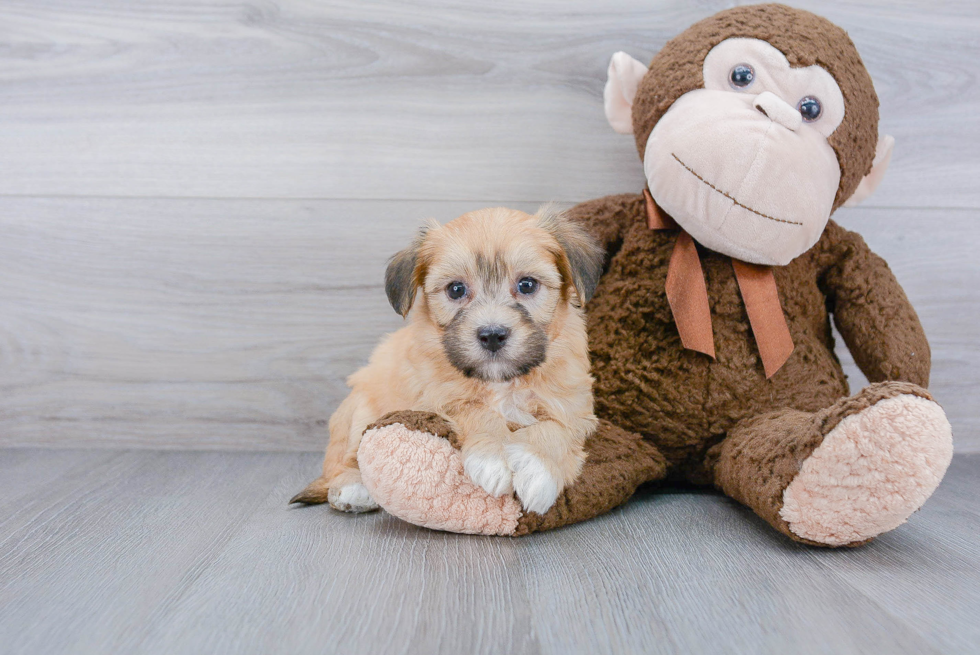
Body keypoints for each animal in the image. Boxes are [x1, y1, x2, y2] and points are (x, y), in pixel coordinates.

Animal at [288, 208, 600, 516]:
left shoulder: (574, 408)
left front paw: (538, 469)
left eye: (527, 285)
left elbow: (557, 429)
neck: (501, 382)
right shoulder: (436, 399)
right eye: (456, 290)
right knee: (343, 460)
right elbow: (475, 411)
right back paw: (352, 488)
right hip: (360, 410)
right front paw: (494, 456)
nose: (492, 335)